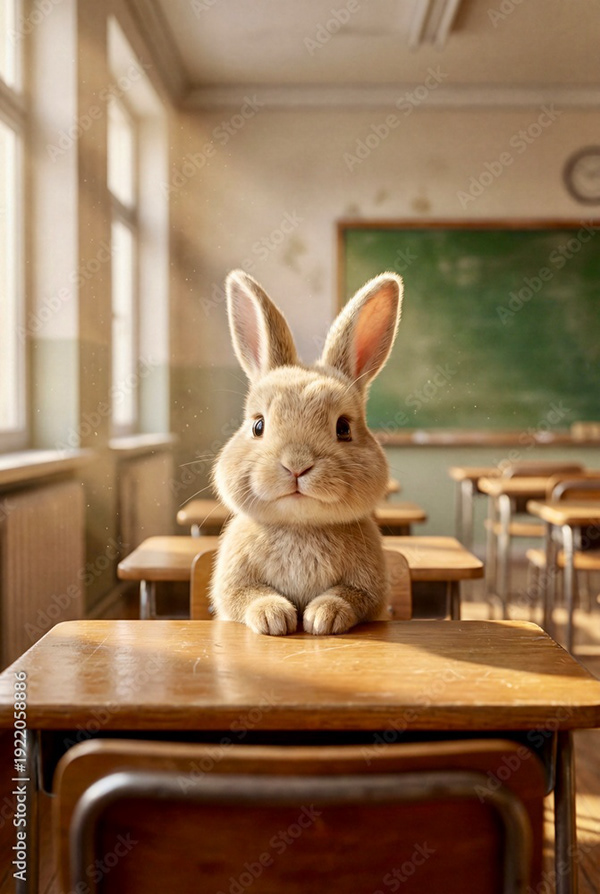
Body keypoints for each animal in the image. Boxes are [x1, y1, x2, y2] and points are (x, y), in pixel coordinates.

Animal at [210, 269, 403, 636]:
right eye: (258, 426)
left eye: (343, 428)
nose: (296, 466)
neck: (301, 527)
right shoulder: (234, 583)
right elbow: (248, 596)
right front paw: (273, 618)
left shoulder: (368, 589)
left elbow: (348, 597)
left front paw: (322, 618)